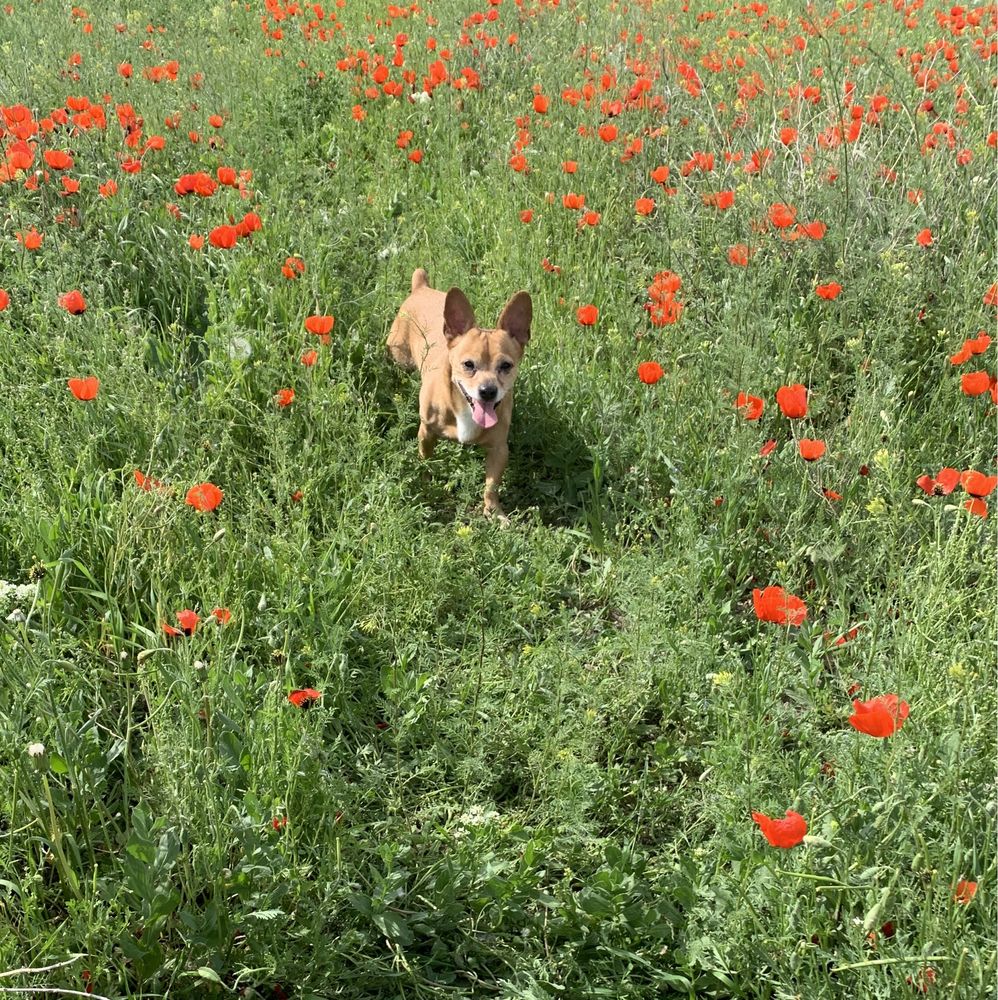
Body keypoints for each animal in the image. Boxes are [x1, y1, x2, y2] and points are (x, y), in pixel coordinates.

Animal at [388, 266, 532, 516]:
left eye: (506, 366)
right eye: (468, 365)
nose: (488, 391)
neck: (464, 407)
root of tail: (421, 288)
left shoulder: (499, 450)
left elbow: (491, 486)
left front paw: (494, 513)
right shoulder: (426, 433)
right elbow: (425, 461)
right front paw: (426, 485)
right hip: (399, 356)